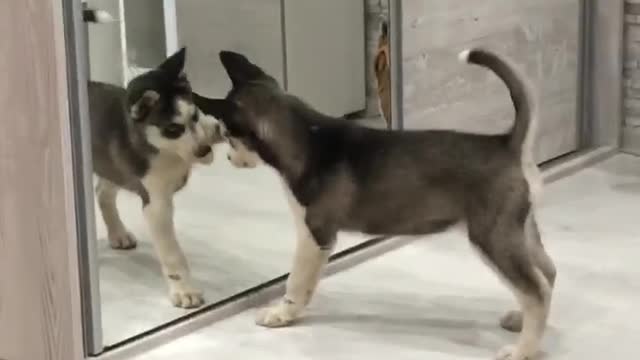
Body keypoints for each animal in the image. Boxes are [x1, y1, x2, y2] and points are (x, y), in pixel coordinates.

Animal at [87, 47, 222, 306]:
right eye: (173, 129)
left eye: (194, 116)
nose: (204, 151)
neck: (168, 152)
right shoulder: (157, 204)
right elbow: (172, 254)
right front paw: (184, 291)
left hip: (112, 165)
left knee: (103, 193)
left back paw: (118, 233)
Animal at [194, 48, 556, 360]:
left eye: (227, 136)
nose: (228, 158)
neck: (305, 136)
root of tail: (507, 143)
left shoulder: (315, 236)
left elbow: (296, 281)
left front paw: (282, 313)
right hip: (520, 231)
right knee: (547, 275)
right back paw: (522, 323)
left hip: (492, 237)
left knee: (535, 291)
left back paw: (523, 351)